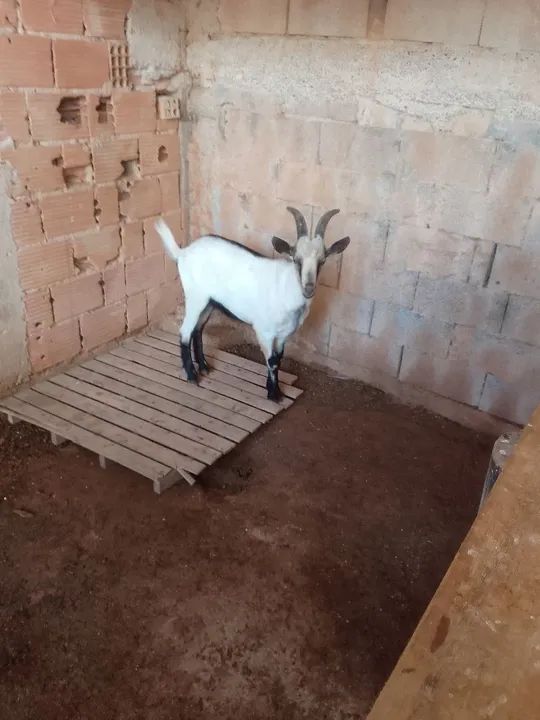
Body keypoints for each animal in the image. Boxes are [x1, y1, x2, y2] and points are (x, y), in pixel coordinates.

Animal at [155, 207, 350, 401]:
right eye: (296, 259)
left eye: (322, 261)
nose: (308, 288)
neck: (285, 289)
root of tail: (182, 253)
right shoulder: (264, 331)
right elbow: (272, 361)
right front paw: (273, 394)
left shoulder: (283, 334)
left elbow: (279, 359)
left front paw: (274, 389)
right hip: (196, 297)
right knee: (185, 332)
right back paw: (192, 376)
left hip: (209, 302)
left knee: (198, 329)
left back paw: (203, 367)